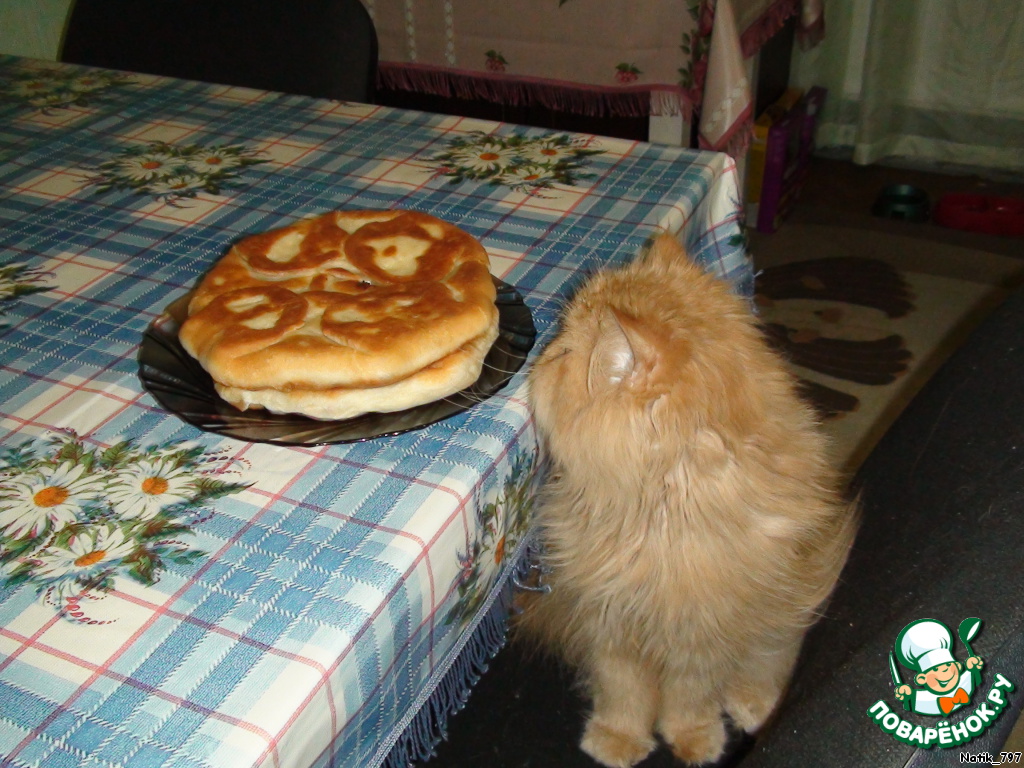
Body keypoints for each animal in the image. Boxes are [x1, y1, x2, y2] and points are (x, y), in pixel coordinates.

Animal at [517, 232, 859, 768]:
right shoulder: (608, 622)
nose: (543, 353)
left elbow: (689, 698)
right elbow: (624, 694)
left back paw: (752, 703)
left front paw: (694, 739)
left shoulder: (702, 638)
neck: (659, 513)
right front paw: (618, 740)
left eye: (565, 354)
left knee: (769, 661)